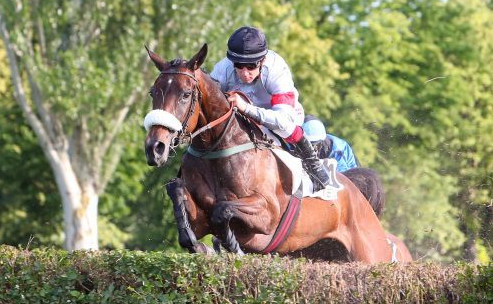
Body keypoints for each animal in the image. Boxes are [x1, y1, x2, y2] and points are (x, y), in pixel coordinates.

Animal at [144, 43, 410, 264]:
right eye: (153, 92)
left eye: (185, 94)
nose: (155, 148)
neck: (216, 150)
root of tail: (357, 193)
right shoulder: (201, 219)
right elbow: (177, 191)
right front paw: (200, 244)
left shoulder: (267, 214)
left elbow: (223, 210)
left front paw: (232, 247)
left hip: (371, 254)